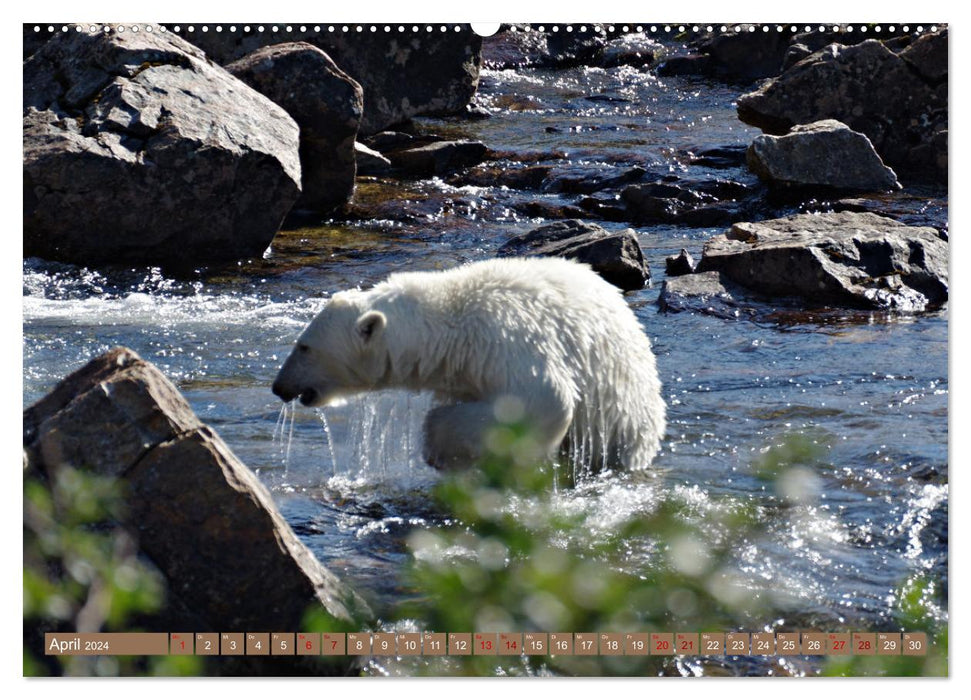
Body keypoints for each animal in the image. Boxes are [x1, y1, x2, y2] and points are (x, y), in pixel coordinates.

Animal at [274, 256, 668, 470]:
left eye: (304, 346)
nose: (279, 387)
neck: (451, 328)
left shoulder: (505, 342)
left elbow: (545, 399)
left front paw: (439, 451)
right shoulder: (464, 371)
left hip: (625, 412)